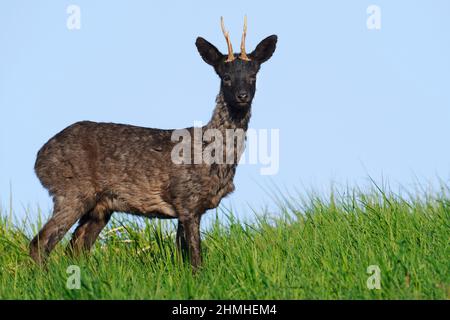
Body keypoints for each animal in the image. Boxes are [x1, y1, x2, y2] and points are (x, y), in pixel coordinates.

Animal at [29, 17, 276, 270]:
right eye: (225, 77)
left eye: (253, 76)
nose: (242, 95)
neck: (212, 155)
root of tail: (39, 158)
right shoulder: (186, 199)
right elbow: (196, 257)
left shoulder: (185, 209)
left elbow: (182, 254)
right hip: (71, 191)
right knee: (41, 242)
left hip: (100, 206)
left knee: (75, 248)